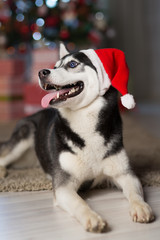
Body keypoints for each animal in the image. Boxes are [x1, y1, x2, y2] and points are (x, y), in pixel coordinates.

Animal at [0, 43, 155, 232]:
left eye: (72, 64)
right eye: (55, 66)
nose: (41, 72)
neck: (85, 121)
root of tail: (33, 114)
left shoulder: (125, 174)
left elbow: (134, 192)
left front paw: (141, 207)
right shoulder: (64, 186)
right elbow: (79, 203)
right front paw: (92, 218)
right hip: (25, 135)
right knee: (3, 156)